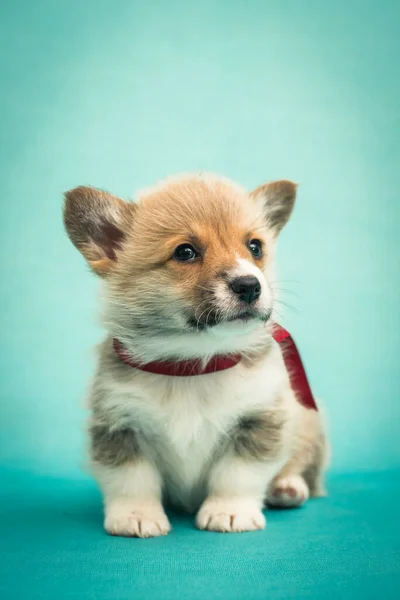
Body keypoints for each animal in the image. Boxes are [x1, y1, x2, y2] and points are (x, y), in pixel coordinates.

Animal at [61, 171, 324, 536]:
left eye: (255, 247)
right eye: (185, 252)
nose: (250, 285)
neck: (192, 363)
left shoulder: (260, 418)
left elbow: (237, 474)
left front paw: (230, 512)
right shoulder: (118, 423)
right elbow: (132, 479)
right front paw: (136, 516)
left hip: (310, 421)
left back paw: (287, 489)